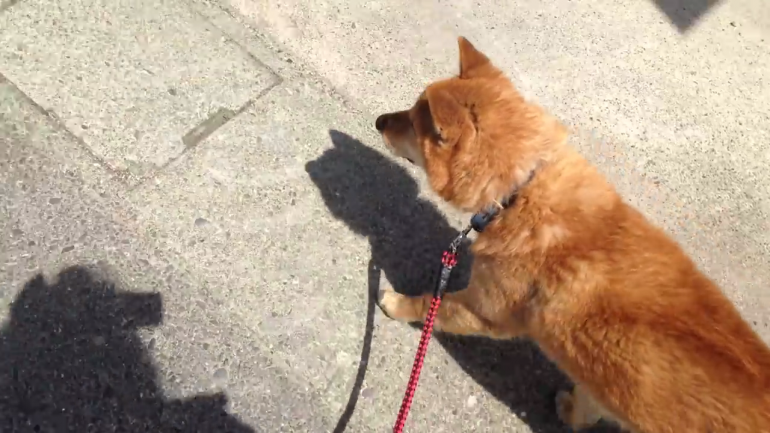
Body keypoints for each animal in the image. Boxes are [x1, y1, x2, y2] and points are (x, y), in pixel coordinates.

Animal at [372, 37, 768, 432]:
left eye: (411, 121)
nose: (378, 121)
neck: (521, 191)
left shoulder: (481, 312)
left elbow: (430, 304)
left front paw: (399, 303)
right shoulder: (599, 382)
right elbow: (588, 404)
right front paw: (574, 412)